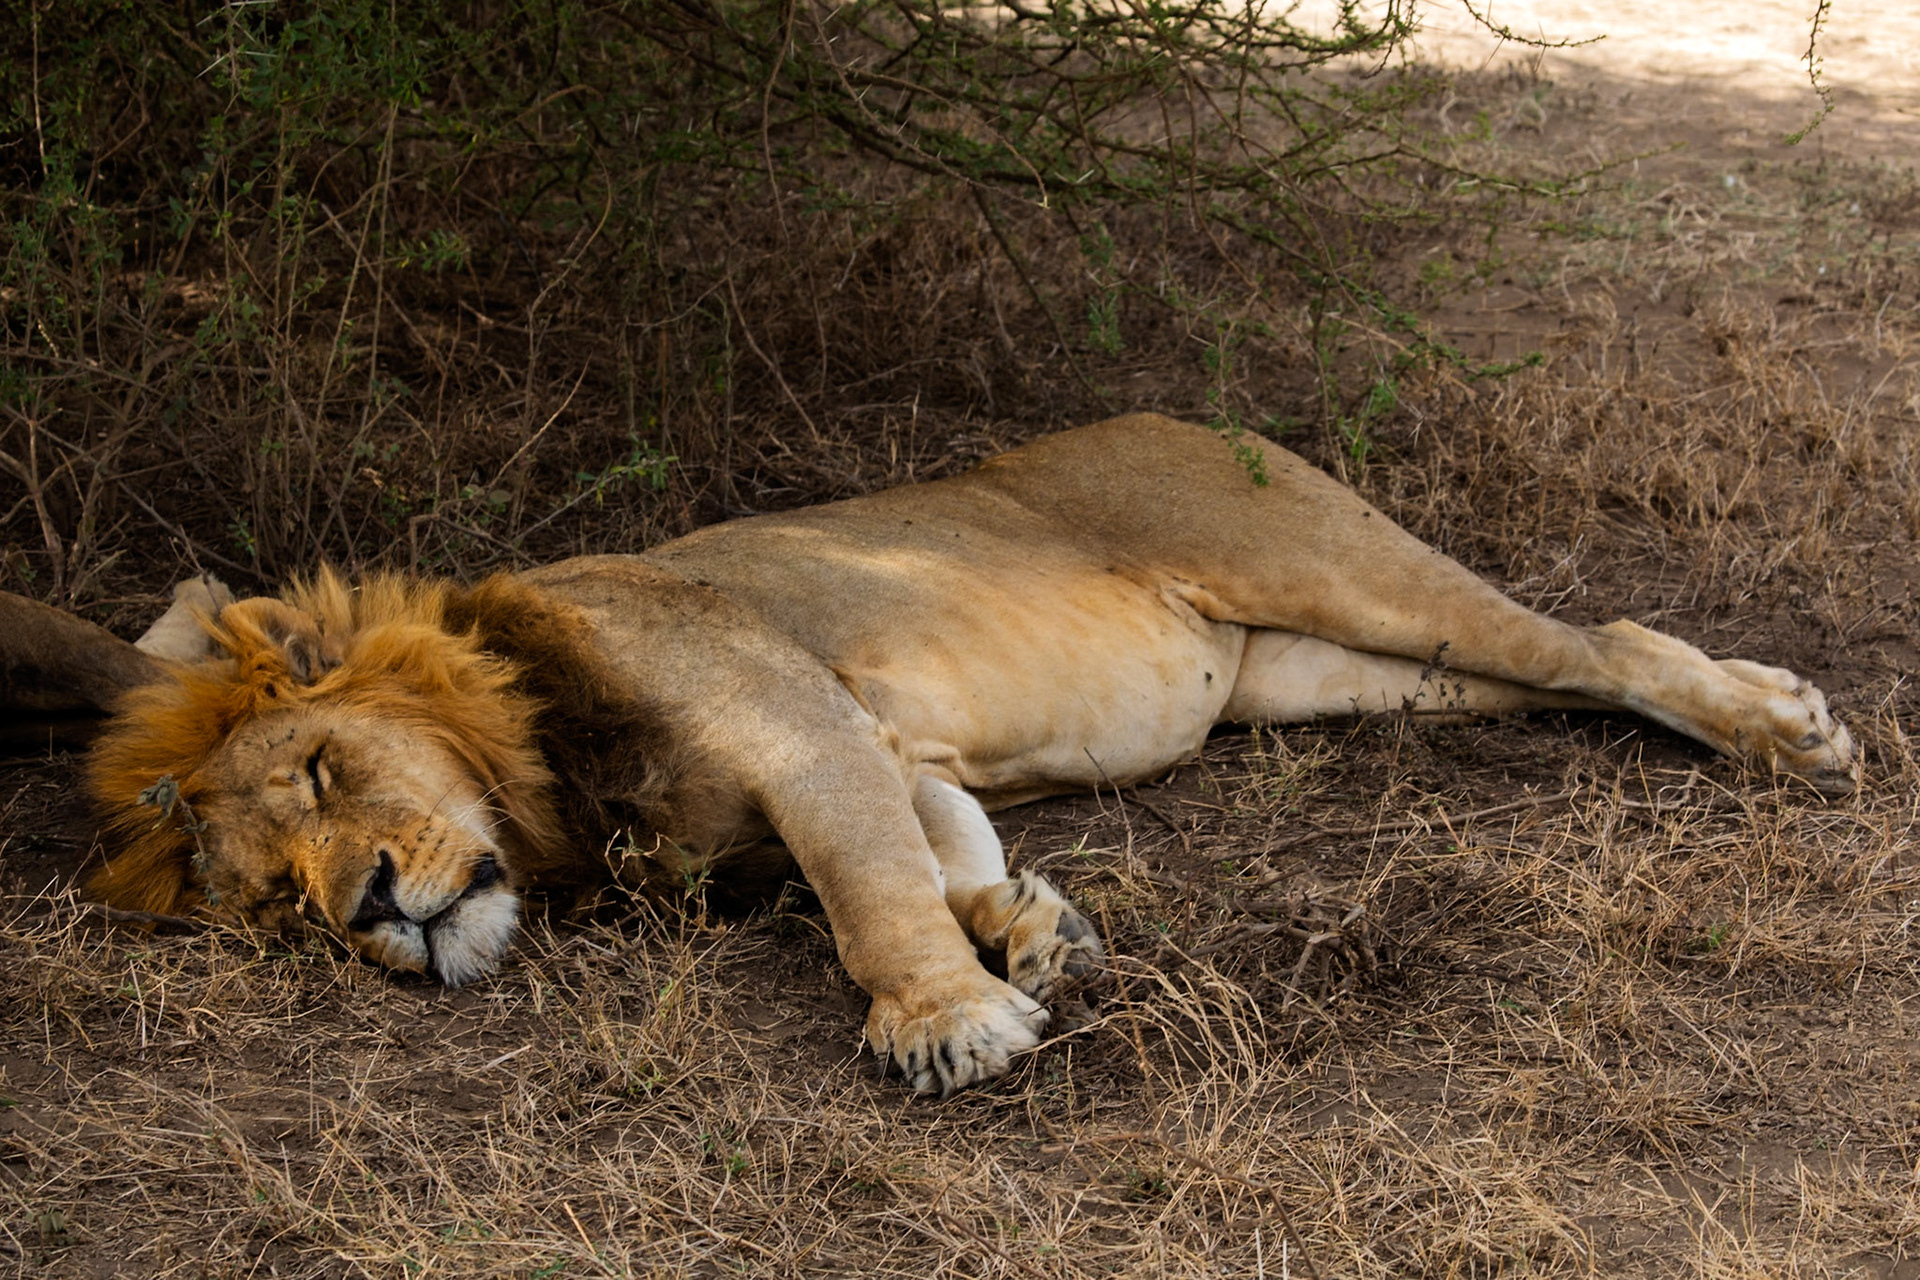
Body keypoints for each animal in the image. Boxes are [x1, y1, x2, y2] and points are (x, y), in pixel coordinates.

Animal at [70, 414, 1856, 1093]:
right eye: (269, 904)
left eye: (321, 776)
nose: (371, 907)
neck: (551, 762)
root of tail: (1204, 415)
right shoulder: (870, 742)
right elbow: (937, 852)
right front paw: (1027, 932)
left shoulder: (795, 720)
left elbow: (867, 896)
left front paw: (945, 1022)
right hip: (1332, 682)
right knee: (1574, 678)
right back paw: (1762, 699)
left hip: (1338, 573)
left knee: (1593, 644)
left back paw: (1787, 729)